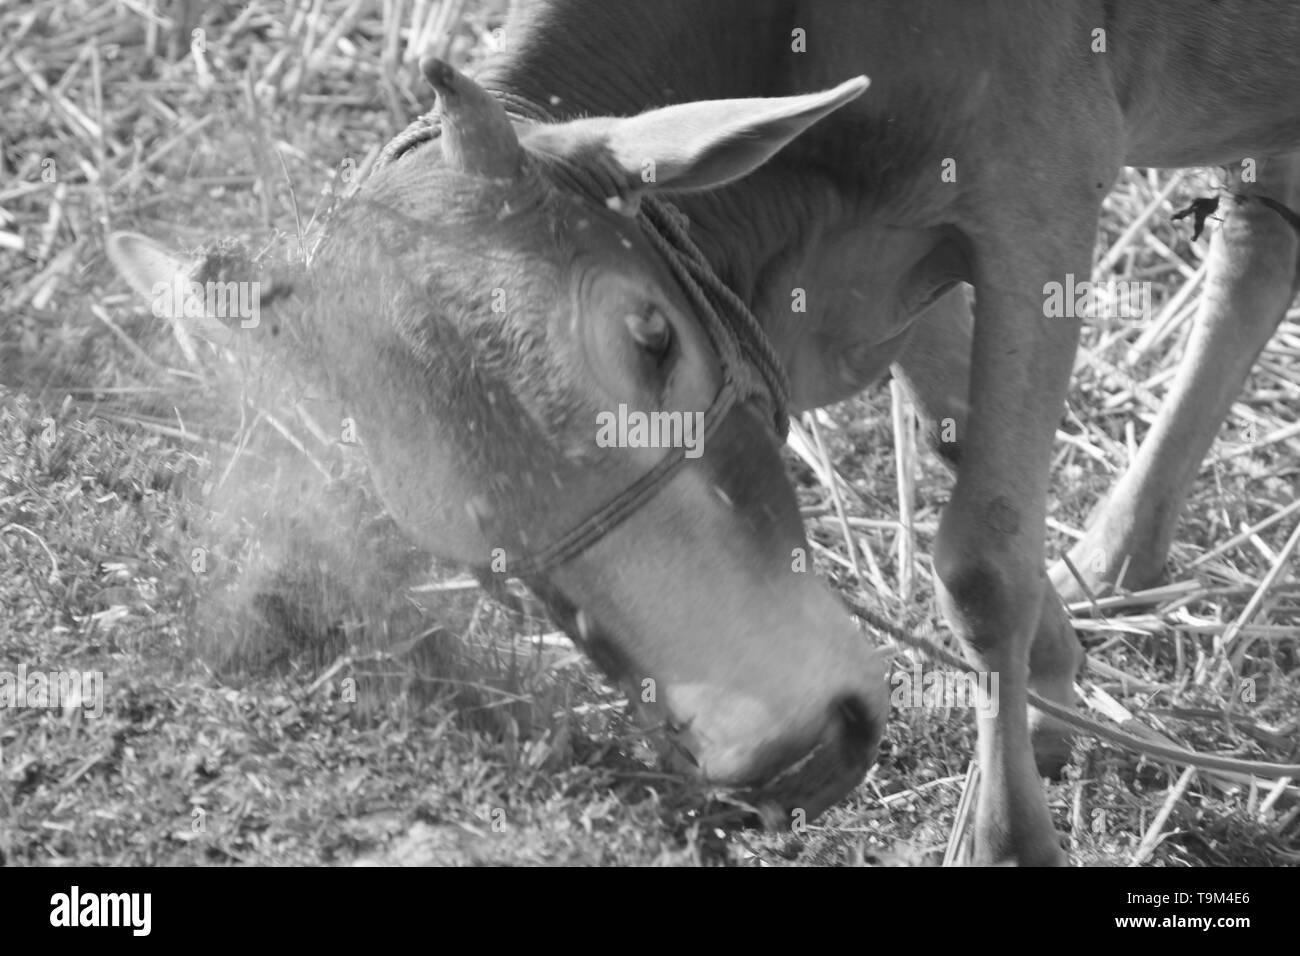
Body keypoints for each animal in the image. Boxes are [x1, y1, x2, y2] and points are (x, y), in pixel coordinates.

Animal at [109, 1, 1300, 868]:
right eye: (456, 542)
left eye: (652, 336)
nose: (792, 756)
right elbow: (955, 435)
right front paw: (1054, 689)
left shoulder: (1033, 187)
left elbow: (979, 561)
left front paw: (1001, 839)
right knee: (1259, 239)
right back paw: (1119, 556)